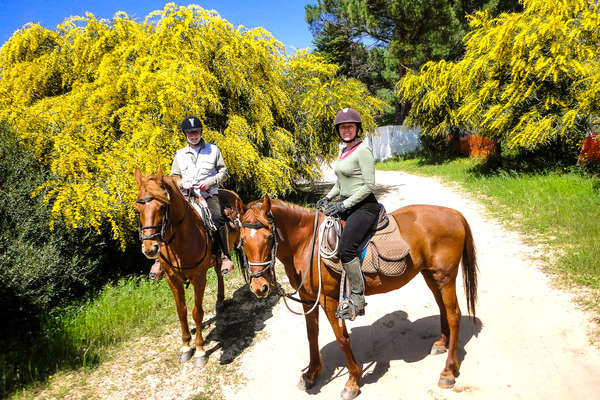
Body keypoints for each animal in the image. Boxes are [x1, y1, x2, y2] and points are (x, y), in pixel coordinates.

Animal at [134, 167, 244, 368]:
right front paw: (185, 347)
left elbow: (196, 312)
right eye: (138, 210)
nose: (150, 248)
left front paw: (200, 351)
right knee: (219, 272)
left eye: (162, 207)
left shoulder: (199, 277)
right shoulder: (172, 279)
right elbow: (182, 311)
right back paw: (220, 300)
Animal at [239, 197, 478, 400]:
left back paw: (449, 371)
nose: (259, 287)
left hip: (445, 277)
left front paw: (353, 380)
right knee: (442, 308)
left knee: (454, 315)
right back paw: (441, 343)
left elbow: (342, 338)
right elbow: (312, 335)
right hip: (431, 275)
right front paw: (312, 374)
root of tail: (454, 214)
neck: (308, 244)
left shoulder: (328, 300)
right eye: (241, 241)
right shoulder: (308, 299)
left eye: (269, 237)